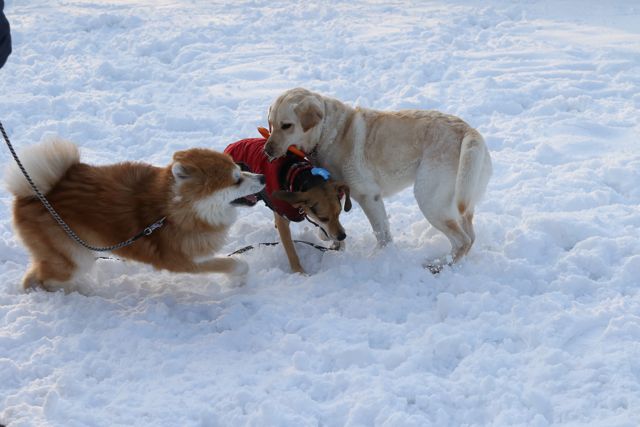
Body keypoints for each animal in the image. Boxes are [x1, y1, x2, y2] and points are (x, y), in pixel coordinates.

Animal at [5, 139, 264, 292]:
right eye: (236, 180)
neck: (175, 211)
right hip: (74, 257)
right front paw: (238, 280)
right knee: (40, 278)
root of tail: (32, 193)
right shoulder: (184, 261)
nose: (262, 177)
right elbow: (236, 263)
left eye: (240, 169)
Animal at [262, 87, 492, 270]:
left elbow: (382, 233)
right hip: (462, 200)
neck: (328, 133)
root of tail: (468, 131)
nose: (267, 150)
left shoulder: (368, 196)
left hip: (429, 199)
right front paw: (335, 245)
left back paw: (439, 265)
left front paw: (380, 257)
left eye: (286, 125)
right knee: (471, 236)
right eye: (271, 124)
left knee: (462, 241)